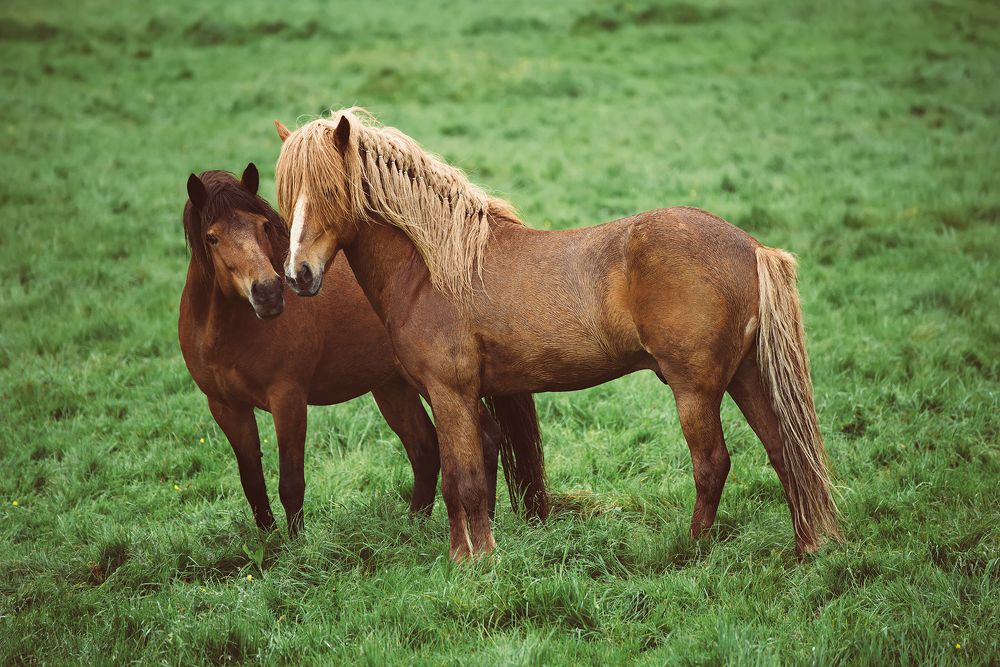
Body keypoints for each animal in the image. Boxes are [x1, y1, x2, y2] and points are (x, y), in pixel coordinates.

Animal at [178, 164, 547, 537]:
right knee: (425, 448)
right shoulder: (226, 408)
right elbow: (252, 482)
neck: (229, 331)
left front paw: (296, 547)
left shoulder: (288, 400)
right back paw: (414, 526)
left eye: (264, 227)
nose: (268, 293)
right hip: (394, 386)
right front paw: (270, 542)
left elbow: (290, 483)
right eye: (212, 237)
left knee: (482, 437)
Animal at [272, 109, 841, 560]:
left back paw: (692, 547)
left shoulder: (450, 393)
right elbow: (476, 469)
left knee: (712, 464)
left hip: (695, 390)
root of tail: (751, 246)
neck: (433, 268)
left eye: (329, 191)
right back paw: (806, 547)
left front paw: (470, 562)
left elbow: (463, 480)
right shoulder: (467, 397)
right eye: (284, 199)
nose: (298, 275)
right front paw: (476, 550)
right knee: (785, 453)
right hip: (745, 377)